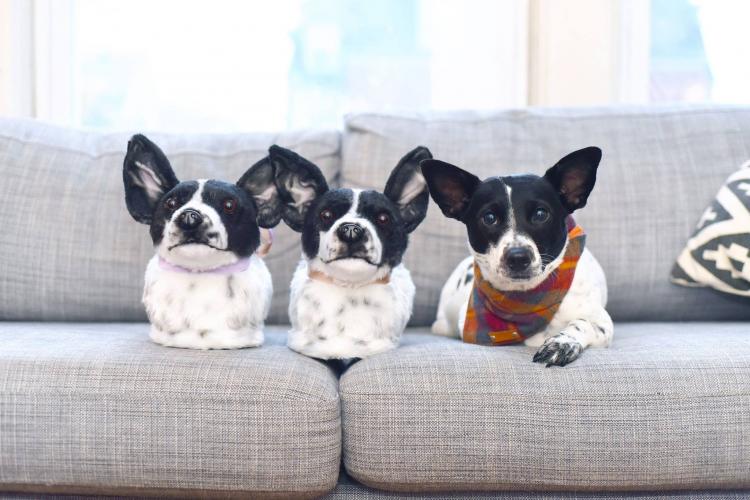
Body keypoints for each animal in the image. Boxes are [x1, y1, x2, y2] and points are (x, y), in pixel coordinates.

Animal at [420, 146, 612, 366]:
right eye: (489, 218)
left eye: (540, 214)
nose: (518, 257)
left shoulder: (601, 320)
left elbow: (583, 323)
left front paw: (562, 342)